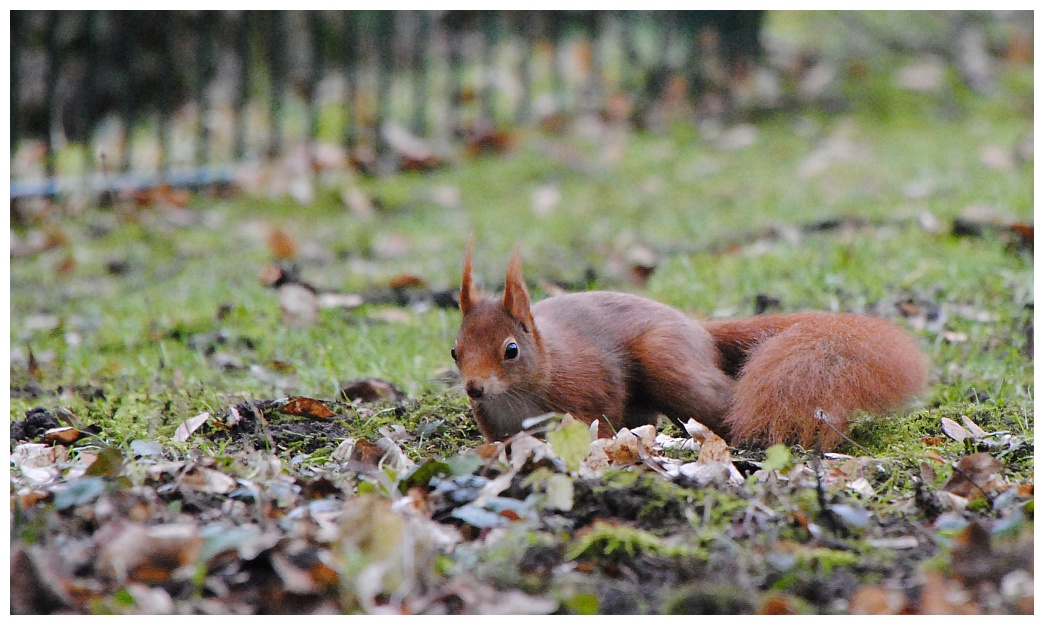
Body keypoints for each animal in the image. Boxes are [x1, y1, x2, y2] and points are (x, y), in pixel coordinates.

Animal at [453, 243, 927, 450]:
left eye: (511, 350)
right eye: (455, 352)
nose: (475, 388)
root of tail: (698, 330)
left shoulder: (588, 390)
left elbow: (600, 421)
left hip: (667, 360)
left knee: (724, 404)